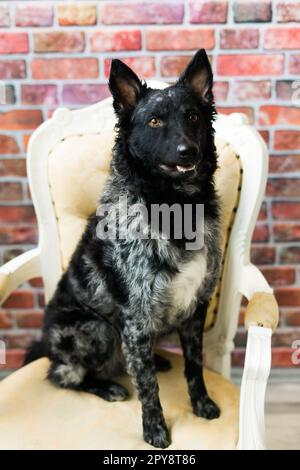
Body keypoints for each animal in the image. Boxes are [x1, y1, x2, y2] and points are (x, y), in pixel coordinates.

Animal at [25, 49, 221, 450]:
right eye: (155, 121)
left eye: (192, 116)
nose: (188, 151)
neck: (174, 204)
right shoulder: (134, 318)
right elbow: (148, 388)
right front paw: (154, 429)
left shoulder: (195, 308)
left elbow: (194, 367)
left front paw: (202, 404)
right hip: (96, 328)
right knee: (64, 374)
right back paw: (107, 386)